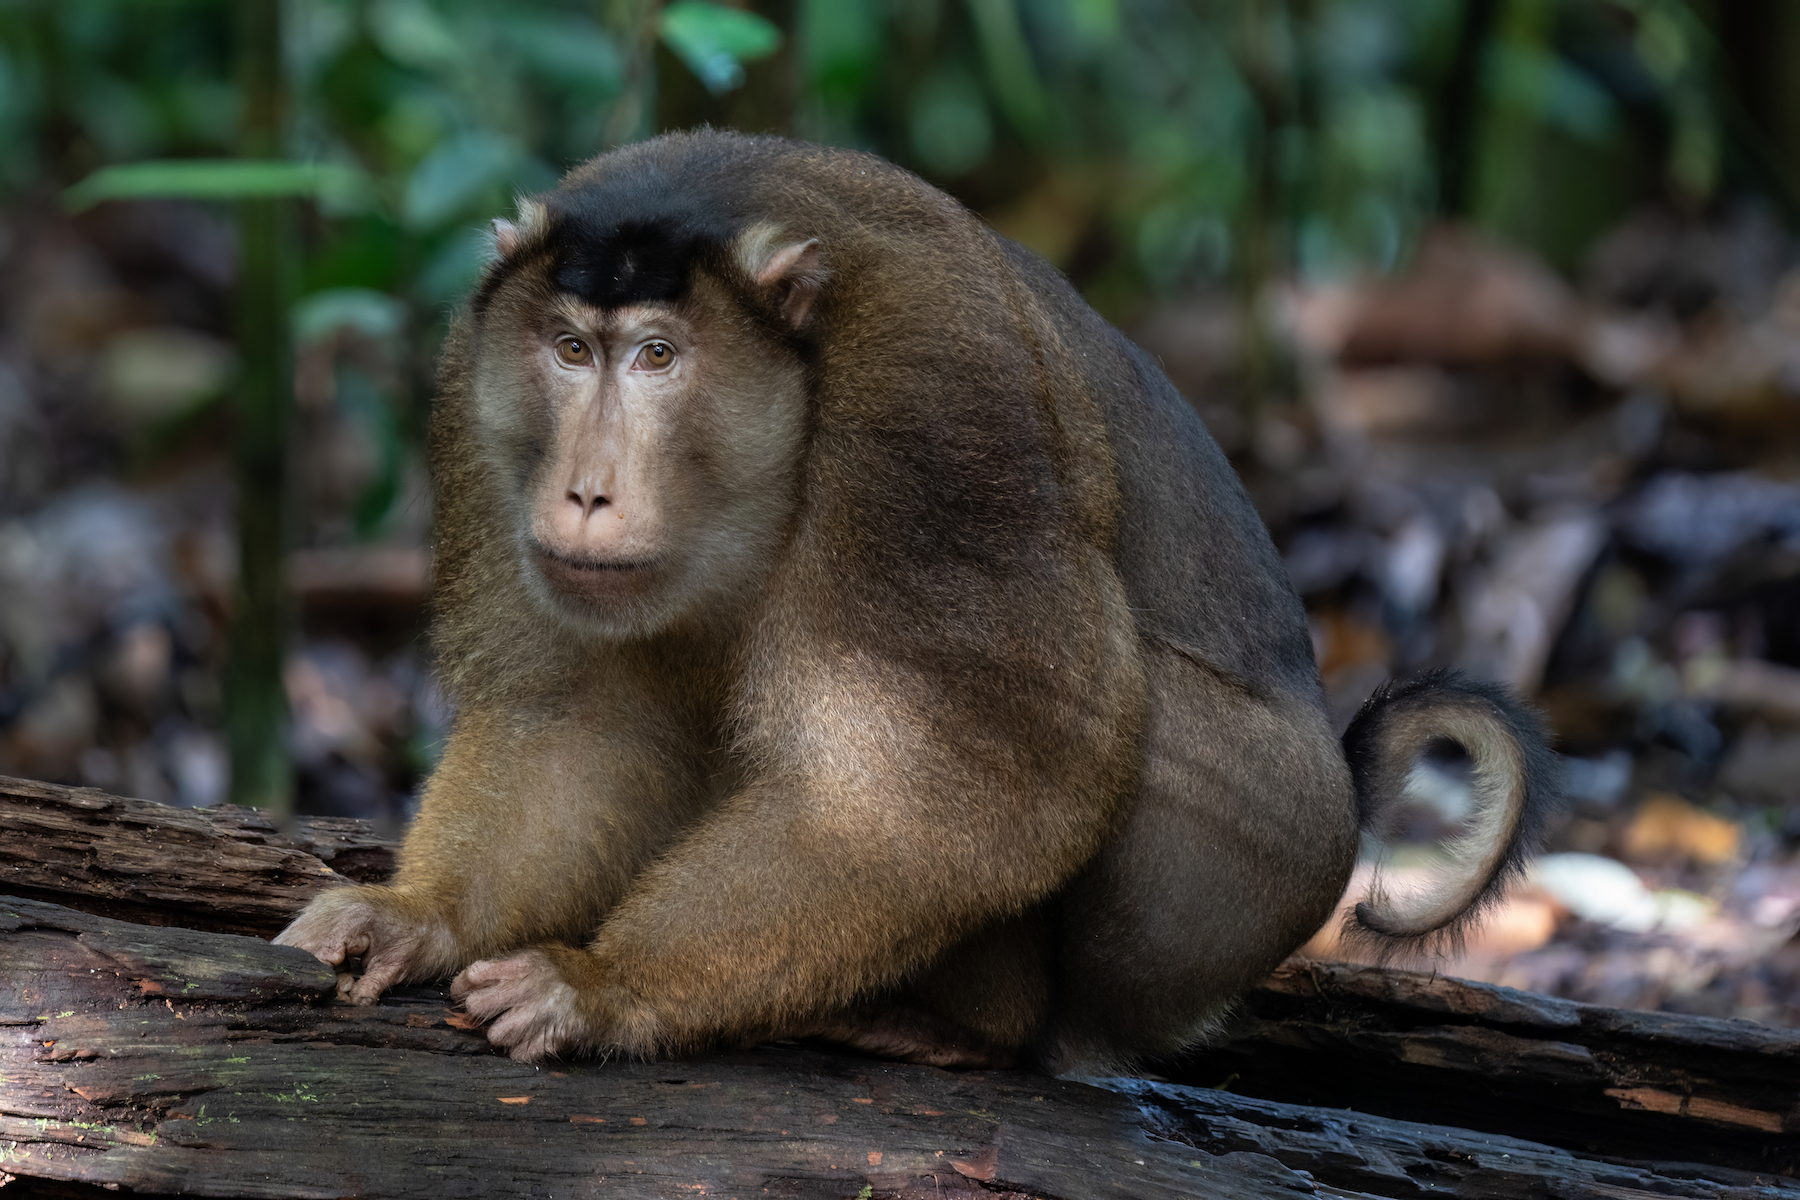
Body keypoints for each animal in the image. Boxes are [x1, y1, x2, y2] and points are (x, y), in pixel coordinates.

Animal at [276, 130, 1561, 1072]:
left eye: (656, 356)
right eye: (566, 348)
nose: (586, 490)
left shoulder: (933, 404)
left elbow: (957, 789)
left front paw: (606, 986)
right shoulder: (473, 395)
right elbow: (573, 721)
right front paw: (419, 915)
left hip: (1252, 863)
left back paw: (963, 1024)